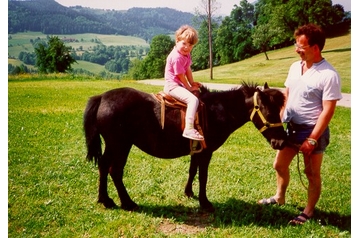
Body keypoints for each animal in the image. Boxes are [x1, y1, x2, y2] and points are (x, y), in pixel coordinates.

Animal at [82, 81, 286, 212]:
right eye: (270, 113)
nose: (281, 142)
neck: (217, 110)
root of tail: (102, 97)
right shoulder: (206, 152)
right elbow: (203, 176)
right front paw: (205, 203)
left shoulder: (197, 150)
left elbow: (192, 170)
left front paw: (189, 193)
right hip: (120, 145)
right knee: (114, 170)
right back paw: (126, 202)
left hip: (115, 146)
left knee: (103, 166)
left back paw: (105, 200)